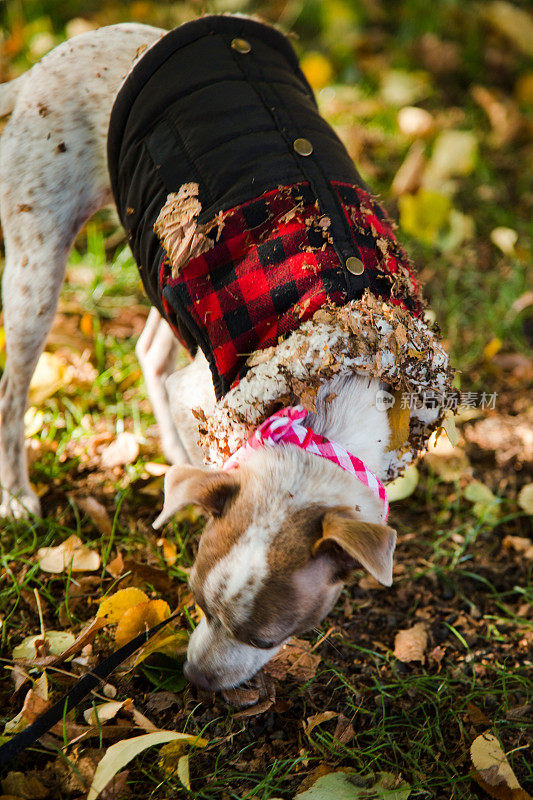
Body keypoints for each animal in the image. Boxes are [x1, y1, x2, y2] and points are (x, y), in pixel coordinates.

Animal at [0, 14, 448, 688]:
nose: (196, 681)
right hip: (39, 264)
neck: (333, 389)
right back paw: (17, 495)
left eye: (270, 638)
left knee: (153, 351)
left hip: (169, 276)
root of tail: (37, 70)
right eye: (196, 602)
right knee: (15, 386)